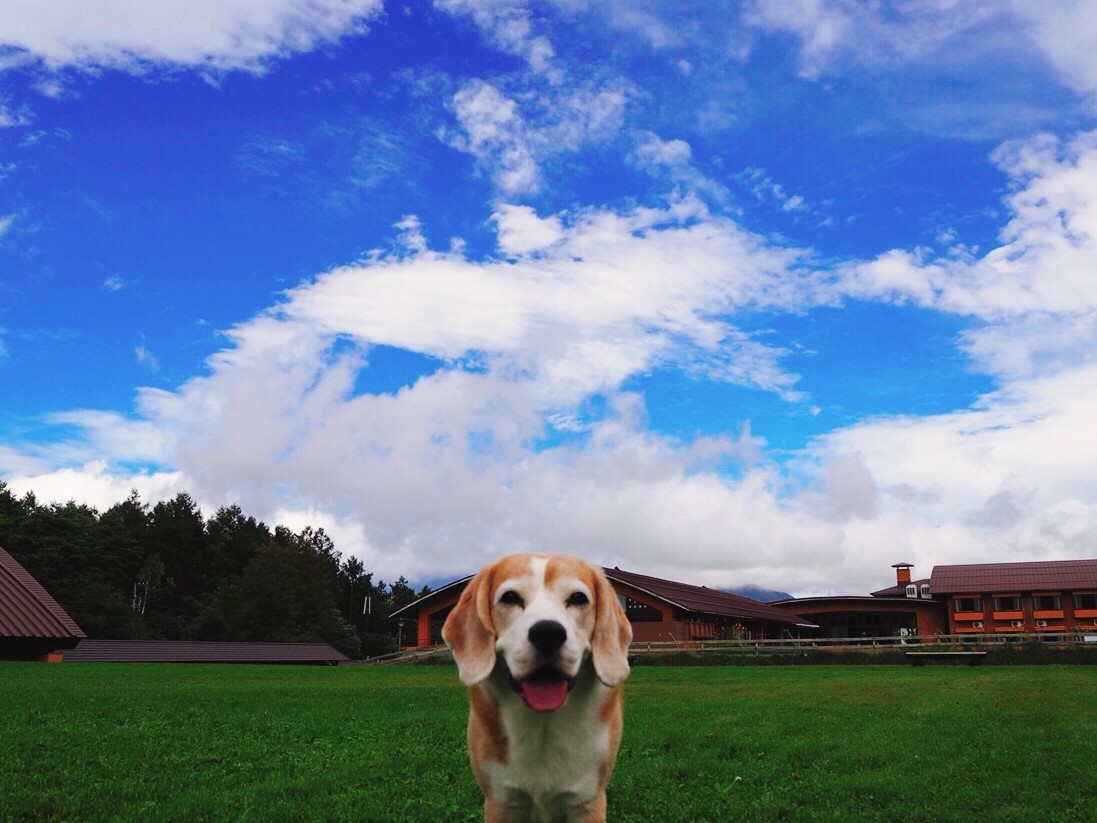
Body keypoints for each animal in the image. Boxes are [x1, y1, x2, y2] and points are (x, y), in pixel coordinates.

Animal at [443, 555, 636, 823]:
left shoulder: (587, 803)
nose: (547, 633)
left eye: (578, 598)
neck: (543, 723)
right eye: (510, 597)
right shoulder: (500, 803)